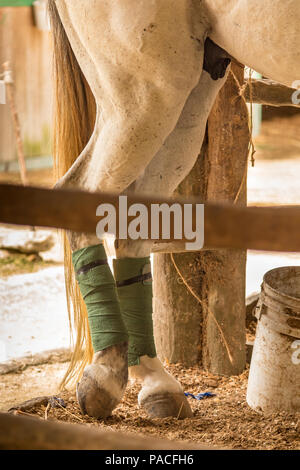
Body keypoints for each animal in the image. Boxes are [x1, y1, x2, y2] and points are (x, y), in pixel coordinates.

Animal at [47, 0, 300, 418]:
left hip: (188, 97)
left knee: (133, 223)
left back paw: (155, 382)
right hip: (146, 93)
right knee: (82, 195)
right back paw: (104, 376)